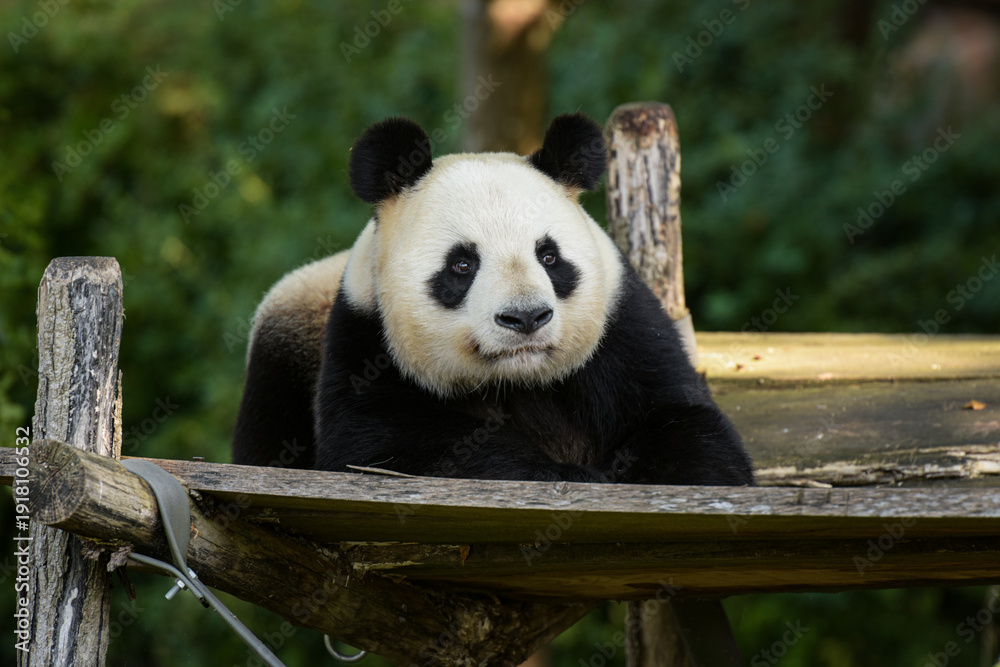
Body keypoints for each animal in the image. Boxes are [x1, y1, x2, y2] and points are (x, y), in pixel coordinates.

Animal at [232, 113, 753, 486]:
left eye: (549, 256)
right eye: (462, 265)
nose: (526, 318)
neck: (513, 382)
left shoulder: (623, 326)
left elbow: (689, 426)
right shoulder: (366, 338)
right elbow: (385, 448)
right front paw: (567, 473)